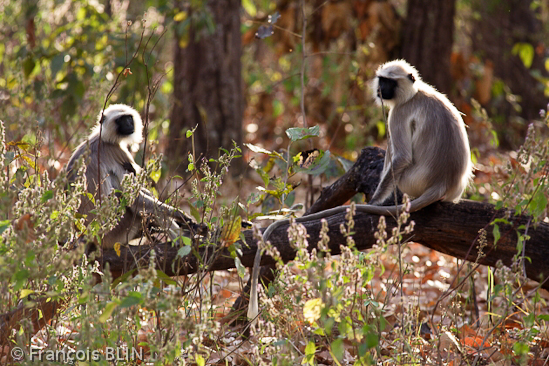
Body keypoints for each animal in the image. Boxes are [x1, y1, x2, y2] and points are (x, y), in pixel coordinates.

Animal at [67, 106, 194, 249]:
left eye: (129, 118)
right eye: (121, 120)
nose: (129, 124)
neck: (103, 138)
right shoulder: (117, 151)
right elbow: (134, 198)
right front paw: (180, 215)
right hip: (116, 231)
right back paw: (181, 240)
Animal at [247, 60, 470, 320]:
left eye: (389, 82)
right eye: (382, 80)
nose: (381, 89)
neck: (414, 93)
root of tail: (442, 183)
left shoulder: (399, 112)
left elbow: (402, 156)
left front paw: (375, 202)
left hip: (411, 179)